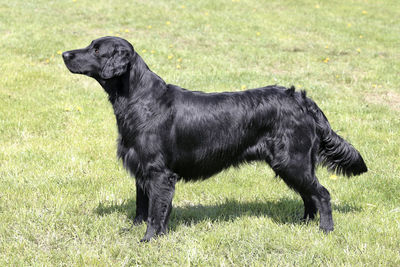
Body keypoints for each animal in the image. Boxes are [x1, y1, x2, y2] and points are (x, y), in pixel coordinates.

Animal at [61, 36, 366, 244]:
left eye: (96, 50)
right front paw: (135, 230)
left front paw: (149, 240)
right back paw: (302, 224)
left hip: (293, 161)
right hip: (292, 164)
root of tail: (301, 98)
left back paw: (325, 229)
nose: (64, 53)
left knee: (322, 194)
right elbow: (142, 206)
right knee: (309, 196)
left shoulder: (159, 173)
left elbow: (155, 211)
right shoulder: (141, 170)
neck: (139, 99)